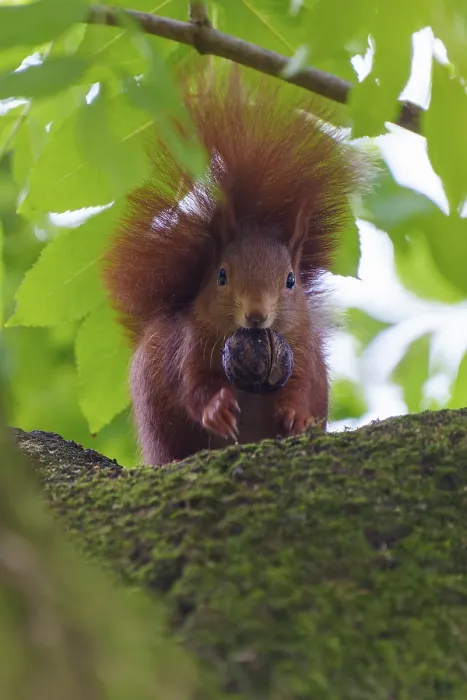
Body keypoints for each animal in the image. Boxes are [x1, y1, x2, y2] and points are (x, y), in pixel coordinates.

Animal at [102, 67, 369, 465]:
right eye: (222, 276)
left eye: (291, 280)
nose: (256, 315)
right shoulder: (189, 344)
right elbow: (191, 385)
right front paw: (215, 410)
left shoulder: (303, 345)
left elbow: (302, 384)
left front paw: (295, 415)